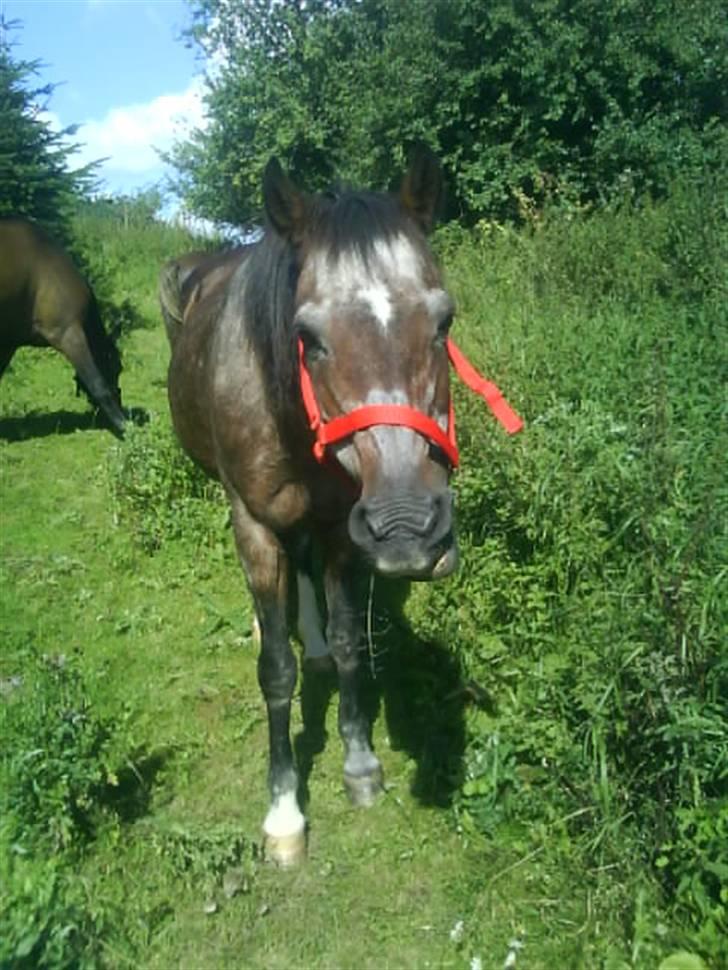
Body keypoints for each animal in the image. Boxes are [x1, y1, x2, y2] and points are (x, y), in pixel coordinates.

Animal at [0, 219, 125, 434]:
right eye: (117, 368)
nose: (121, 405)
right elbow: (98, 384)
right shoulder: (69, 334)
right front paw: (124, 424)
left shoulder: (9, 342)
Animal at [164, 149, 520, 864]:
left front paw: (360, 763)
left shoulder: (341, 528)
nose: (409, 529)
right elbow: (275, 671)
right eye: (308, 335)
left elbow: (356, 644)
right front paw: (283, 812)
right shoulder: (256, 525)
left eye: (444, 321)